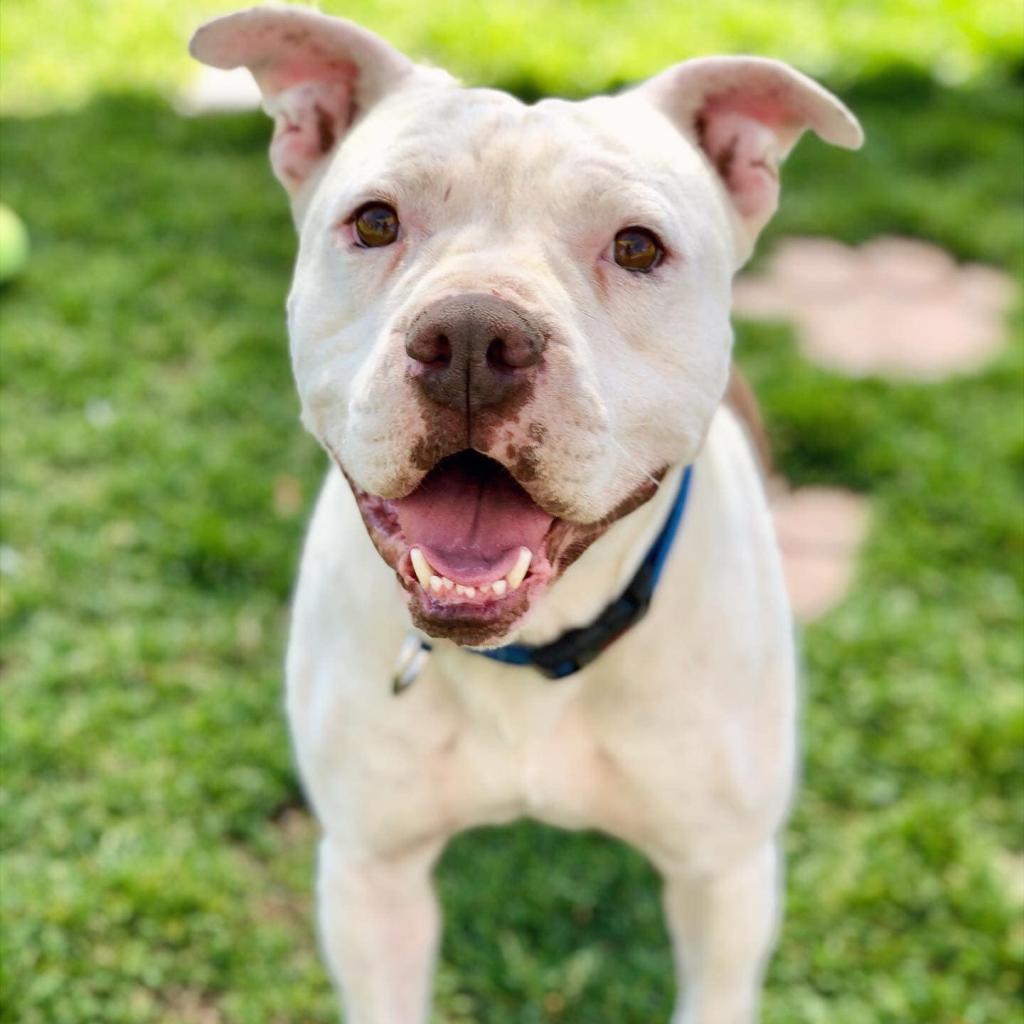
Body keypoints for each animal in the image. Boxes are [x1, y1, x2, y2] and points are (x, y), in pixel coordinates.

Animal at [190, 9, 856, 1024]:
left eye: (637, 247)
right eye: (375, 222)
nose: (472, 337)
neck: (533, 652)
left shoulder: (725, 882)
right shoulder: (372, 876)